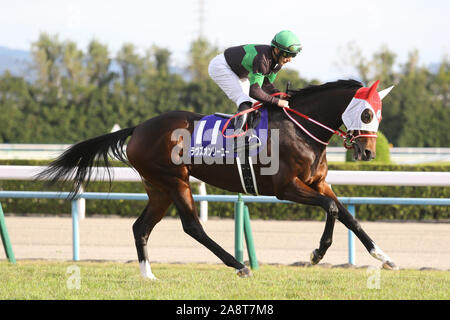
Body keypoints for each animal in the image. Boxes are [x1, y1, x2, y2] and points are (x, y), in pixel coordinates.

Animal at [38, 79, 398, 278]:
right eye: (367, 113)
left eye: (380, 115)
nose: (368, 152)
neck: (300, 128)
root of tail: (138, 128)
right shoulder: (286, 188)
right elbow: (332, 209)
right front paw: (317, 253)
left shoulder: (318, 183)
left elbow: (348, 215)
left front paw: (384, 257)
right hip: (175, 181)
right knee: (193, 226)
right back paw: (239, 265)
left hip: (158, 188)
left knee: (141, 227)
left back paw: (148, 275)